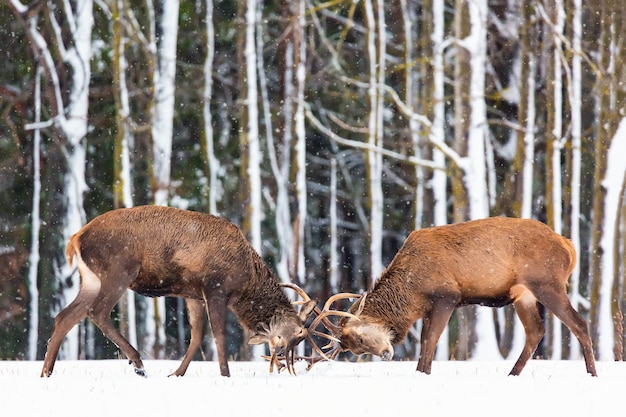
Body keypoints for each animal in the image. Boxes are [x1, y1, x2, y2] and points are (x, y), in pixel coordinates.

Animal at [40, 205, 316, 376]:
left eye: (301, 338)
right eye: (298, 332)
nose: (284, 358)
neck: (246, 282)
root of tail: (75, 238)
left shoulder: (192, 294)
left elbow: (197, 335)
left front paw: (176, 373)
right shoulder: (215, 288)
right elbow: (218, 335)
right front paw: (225, 375)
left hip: (90, 279)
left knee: (65, 316)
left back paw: (46, 372)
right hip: (119, 270)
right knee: (97, 311)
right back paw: (138, 363)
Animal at [310, 216, 596, 376]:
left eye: (359, 337)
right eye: (355, 350)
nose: (386, 354)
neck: (412, 292)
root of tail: (569, 247)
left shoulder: (446, 296)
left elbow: (430, 340)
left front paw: (423, 373)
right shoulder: (429, 307)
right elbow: (425, 340)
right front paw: (420, 372)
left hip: (547, 283)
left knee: (579, 323)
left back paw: (592, 374)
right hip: (522, 293)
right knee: (536, 331)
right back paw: (512, 375)